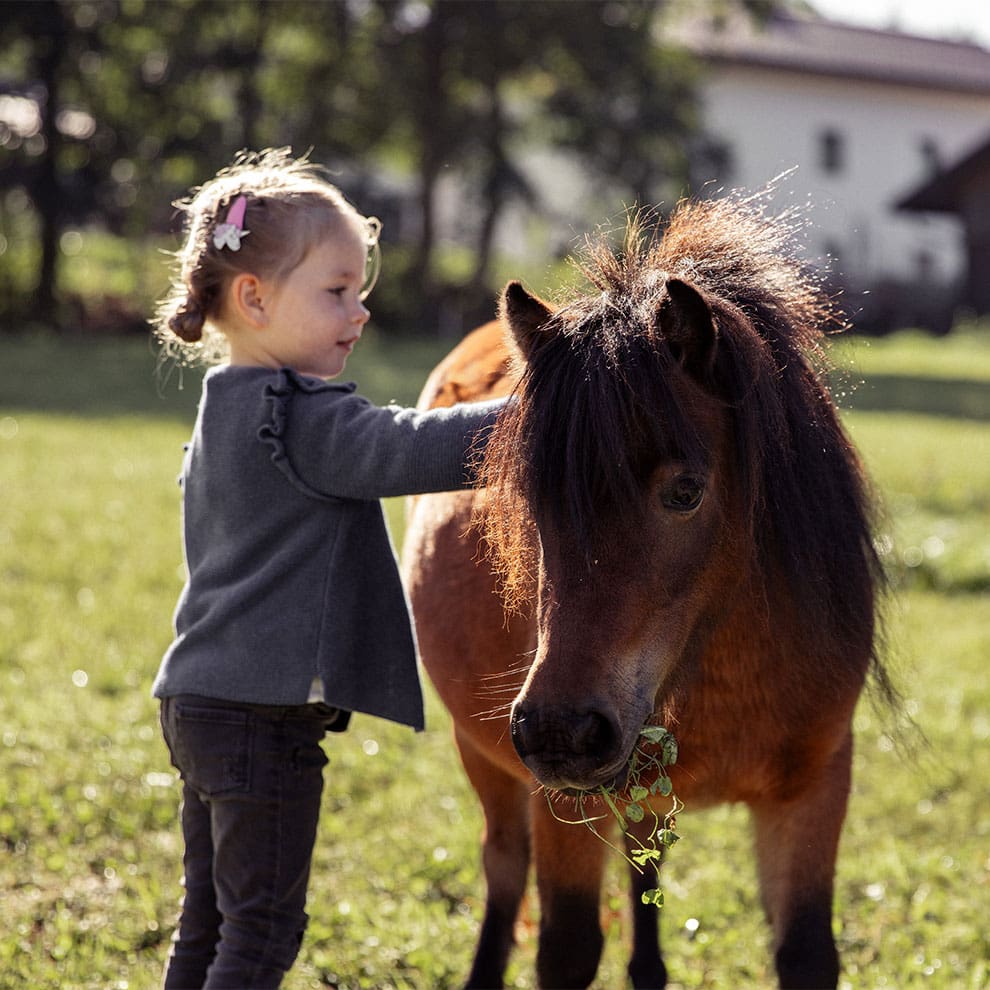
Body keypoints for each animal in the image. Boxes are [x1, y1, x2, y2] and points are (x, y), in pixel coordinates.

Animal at [404, 196, 892, 990]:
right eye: (527, 497)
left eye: (686, 491)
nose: (561, 732)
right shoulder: (560, 802)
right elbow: (567, 946)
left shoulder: (813, 792)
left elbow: (806, 953)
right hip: (485, 759)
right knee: (503, 867)